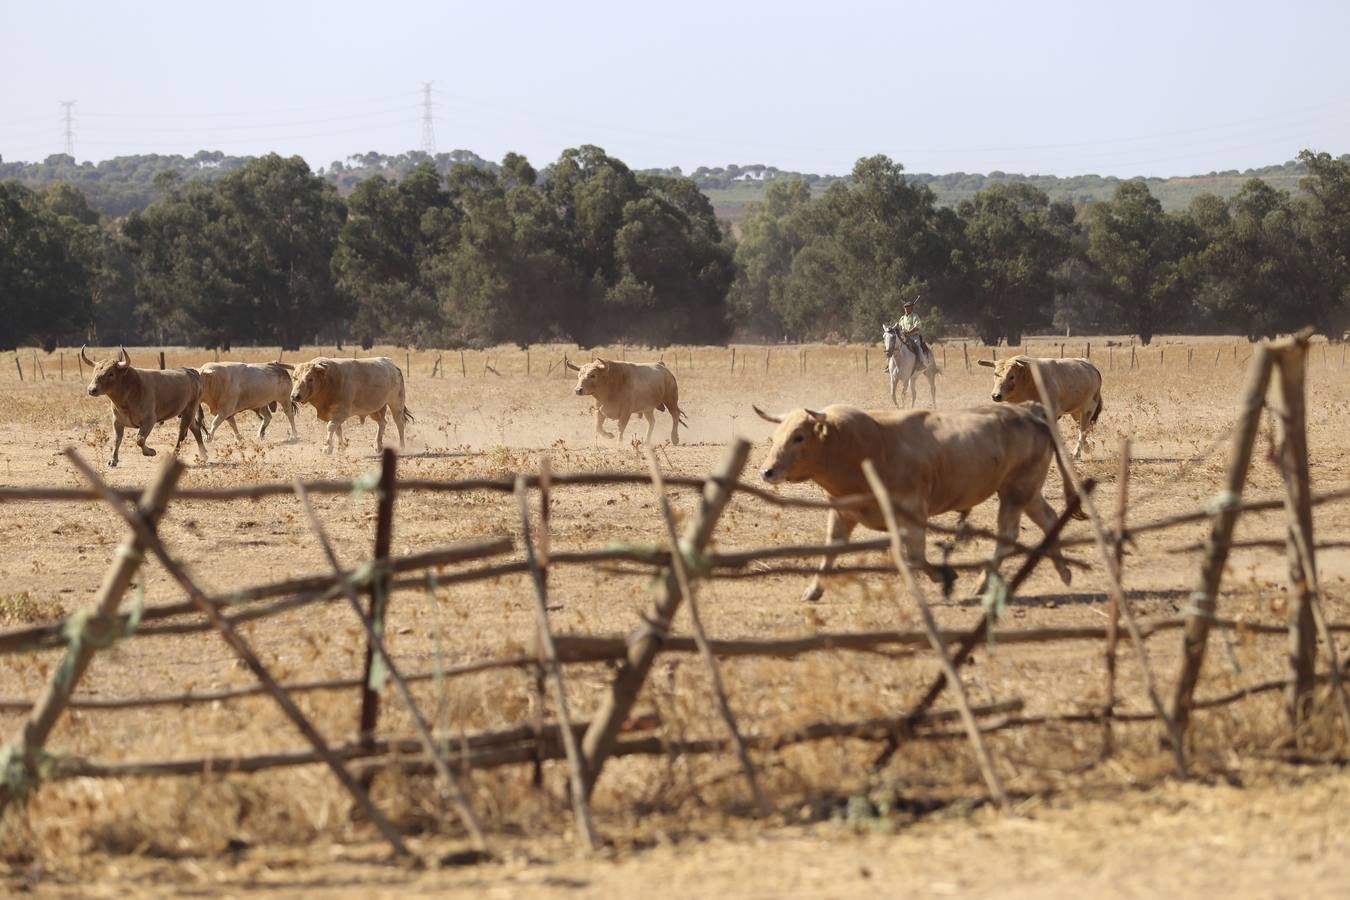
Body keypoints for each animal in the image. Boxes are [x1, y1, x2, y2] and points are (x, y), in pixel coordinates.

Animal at [761, 402, 1074, 604]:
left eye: (799, 436)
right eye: (775, 436)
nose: (767, 471)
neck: (866, 448)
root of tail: (1034, 416)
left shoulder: (911, 510)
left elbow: (914, 555)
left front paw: (942, 576)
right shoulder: (842, 512)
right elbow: (830, 552)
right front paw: (813, 591)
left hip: (1016, 491)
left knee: (1009, 534)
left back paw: (981, 583)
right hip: (1028, 492)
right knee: (1048, 518)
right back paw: (1064, 571)